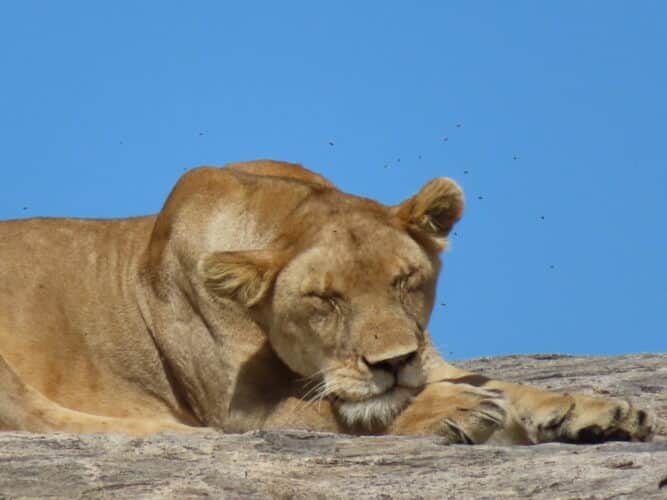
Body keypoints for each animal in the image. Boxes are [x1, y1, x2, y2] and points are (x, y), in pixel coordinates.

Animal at [0, 160, 658, 444]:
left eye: (406, 280)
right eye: (324, 298)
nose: (393, 361)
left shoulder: (429, 354)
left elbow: (505, 384)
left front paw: (598, 411)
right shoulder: (243, 411)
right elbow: (345, 410)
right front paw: (454, 409)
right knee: (32, 417)